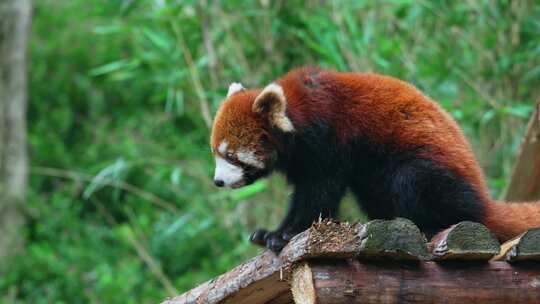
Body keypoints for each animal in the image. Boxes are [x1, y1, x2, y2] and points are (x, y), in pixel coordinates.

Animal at [209, 66, 536, 252]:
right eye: (216, 153)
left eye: (231, 156)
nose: (218, 181)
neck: (300, 112)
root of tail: (483, 200)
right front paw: (271, 232)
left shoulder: (331, 140)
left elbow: (319, 193)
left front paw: (286, 234)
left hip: (433, 171)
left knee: (413, 181)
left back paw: (428, 226)